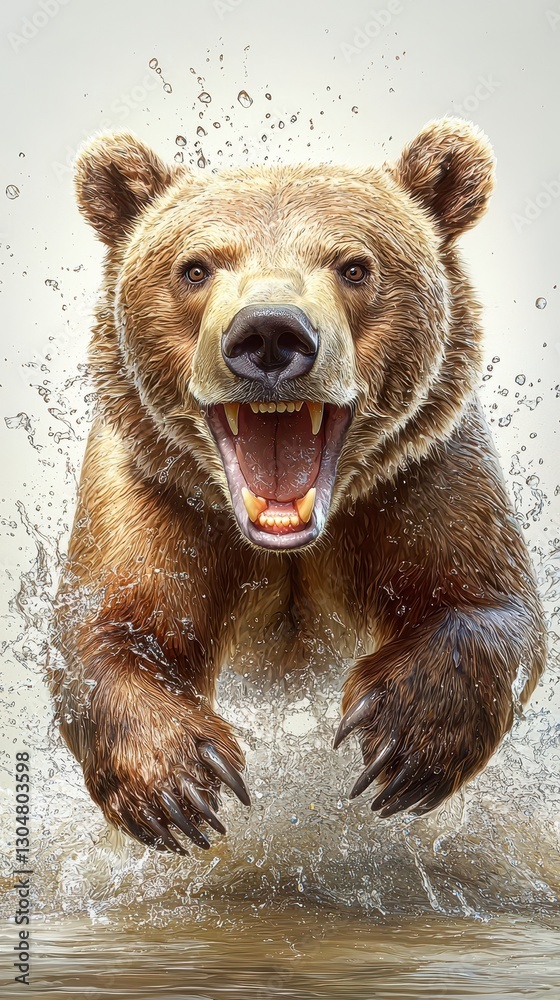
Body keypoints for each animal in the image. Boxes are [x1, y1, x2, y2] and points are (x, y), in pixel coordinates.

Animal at [49, 119, 547, 855]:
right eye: (195, 267)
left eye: (355, 266)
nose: (269, 332)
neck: (289, 542)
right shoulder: (152, 493)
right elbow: (107, 625)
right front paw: (178, 784)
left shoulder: (423, 478)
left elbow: (490, 601)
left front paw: (401, 737)